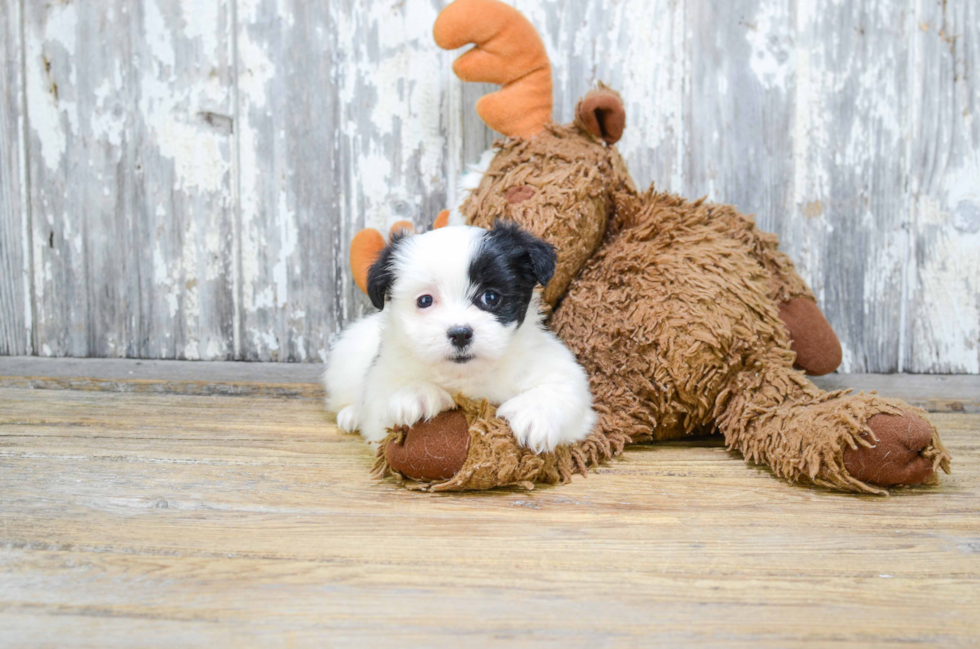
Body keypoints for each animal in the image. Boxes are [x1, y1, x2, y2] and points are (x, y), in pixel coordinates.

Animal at [326, 221, 592, 450]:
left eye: (491, 297)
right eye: (425, 301)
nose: (460, 334)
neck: (465, 375)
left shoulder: (549, 363)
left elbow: (564, 386)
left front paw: (534, 414)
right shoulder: (383, 378)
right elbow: (381, 405)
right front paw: (417, 394)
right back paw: (350, 414)